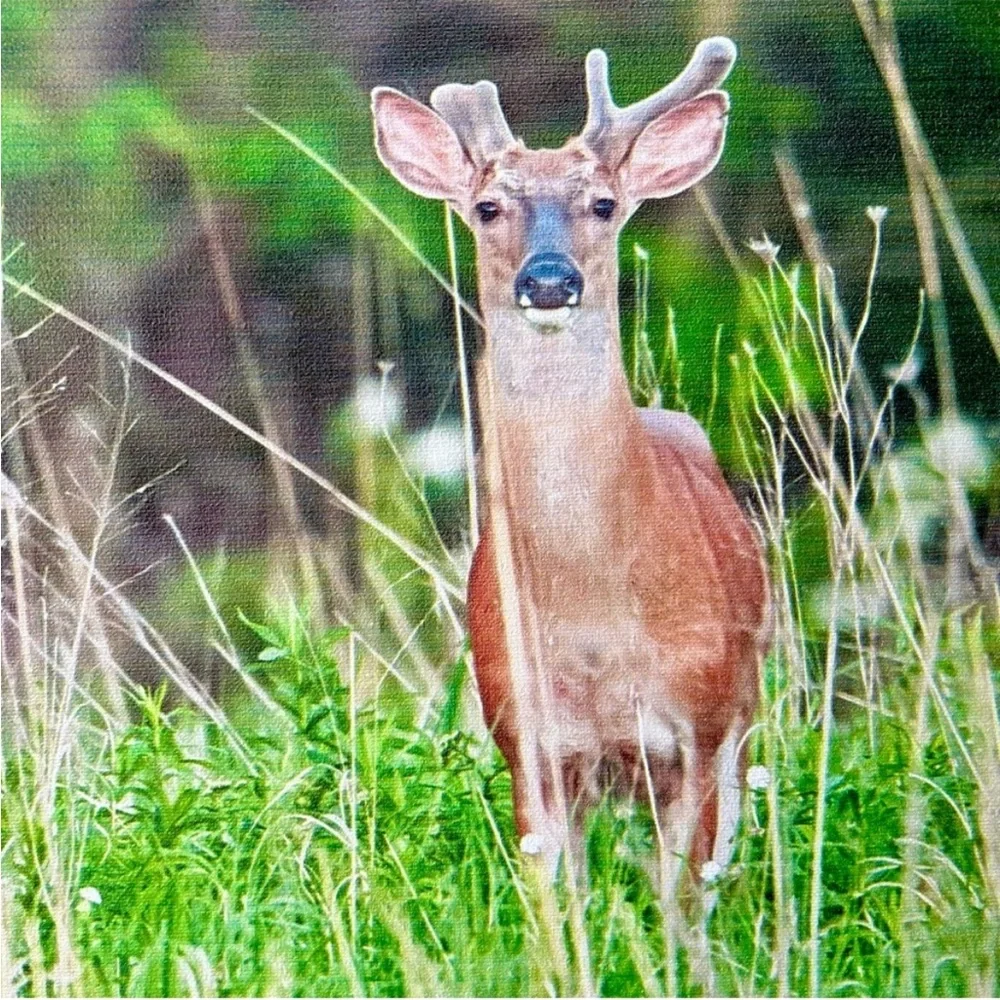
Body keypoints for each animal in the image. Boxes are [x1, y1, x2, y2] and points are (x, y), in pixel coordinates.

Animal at [371, 38, 770, 904]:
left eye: (603, 204)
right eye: (489, 207)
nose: (549, 280)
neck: (594, 625)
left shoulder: (698, 724)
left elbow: (681, 902)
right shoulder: (527, 738)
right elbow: (557, 904)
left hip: (745, 707)